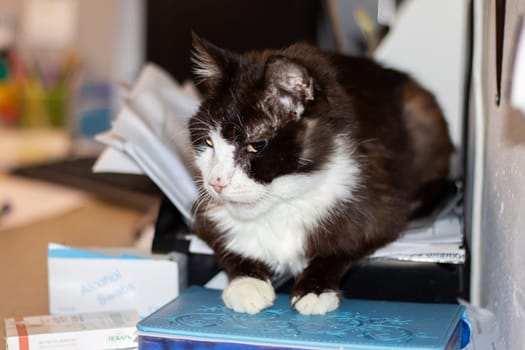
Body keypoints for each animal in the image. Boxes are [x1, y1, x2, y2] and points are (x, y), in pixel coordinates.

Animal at [188, 34, 454, 316]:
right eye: (208, 142)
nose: (216, 182)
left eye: (255, 146)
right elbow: (220, 240)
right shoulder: (202, 212)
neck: (283, 204)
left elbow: (348, 243)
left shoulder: (377, 199)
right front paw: (247, 282)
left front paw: (315, 289)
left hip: (422, 112)